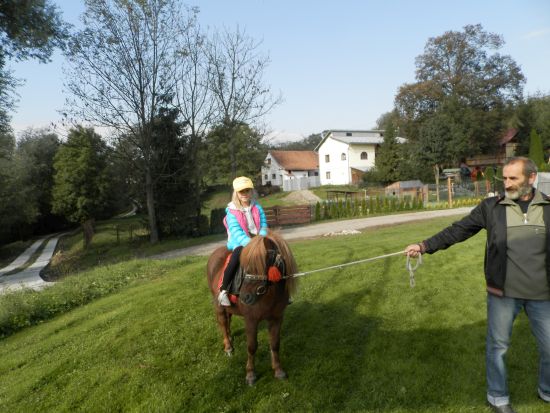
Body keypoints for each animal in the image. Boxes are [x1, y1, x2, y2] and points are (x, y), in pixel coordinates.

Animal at [206, 230, 298, 385]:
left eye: (261, 265)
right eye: (244, 267)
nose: (245, 297)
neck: (269, 294)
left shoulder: (276, 318)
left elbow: (275, 344)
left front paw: (278, 370)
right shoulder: (251, 320)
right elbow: (251, 346)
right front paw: (250, 374)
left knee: (228, 320)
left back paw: (230, 338)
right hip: (219, 307)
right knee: (223, 324)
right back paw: (228, 346)